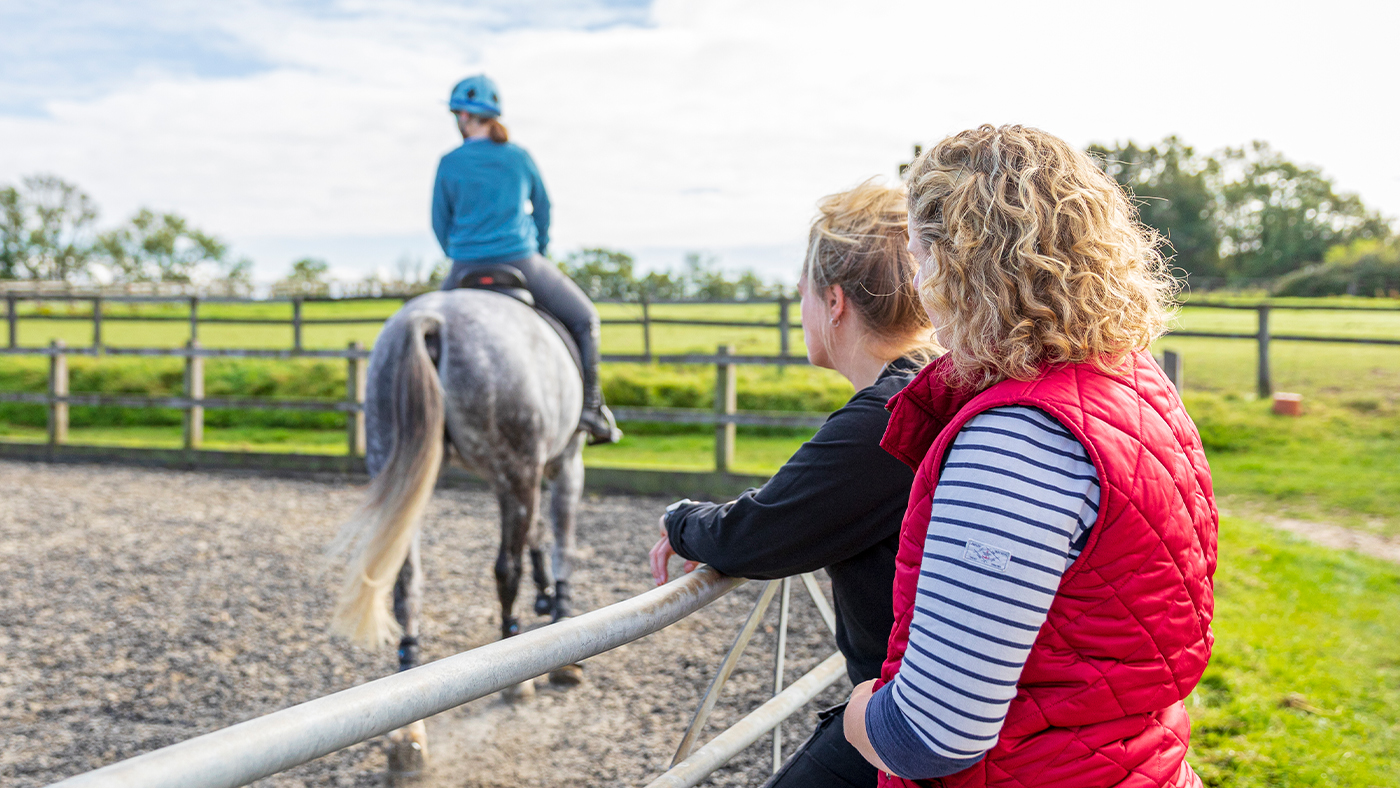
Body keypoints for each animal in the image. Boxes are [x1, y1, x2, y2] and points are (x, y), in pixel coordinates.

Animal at [330, 286, 586, 775]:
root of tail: (433, 317)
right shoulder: (565, 460)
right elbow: (560, 536)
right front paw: (561, 614)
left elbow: (539, 533)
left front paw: (548, 597)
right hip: (517, 470)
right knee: (506, 569)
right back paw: (516, 676)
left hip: (407, 468)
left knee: (406, 586)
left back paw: (409, 726)